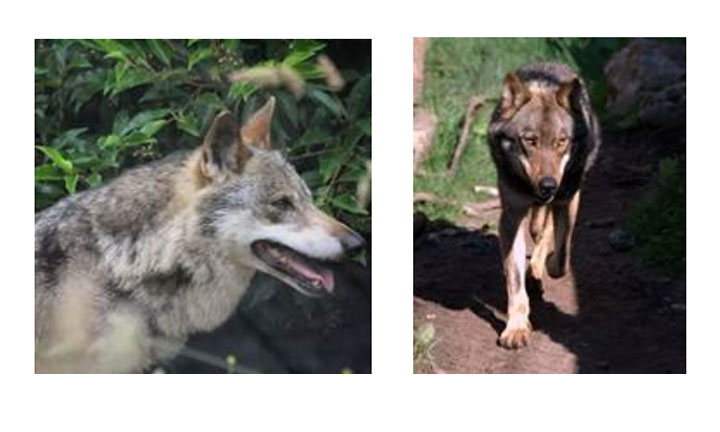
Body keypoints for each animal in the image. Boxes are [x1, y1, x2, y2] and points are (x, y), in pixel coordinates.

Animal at [487, 63, 600, 349]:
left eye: (561, 141)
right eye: (530, 140)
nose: (548, 185)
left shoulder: (568, 200)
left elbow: (560, 260)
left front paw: (545, 266)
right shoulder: (511, 217)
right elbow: (515, 282)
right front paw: (516, 329)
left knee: (547, 232)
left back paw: (538, 270)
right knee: (538, 227)